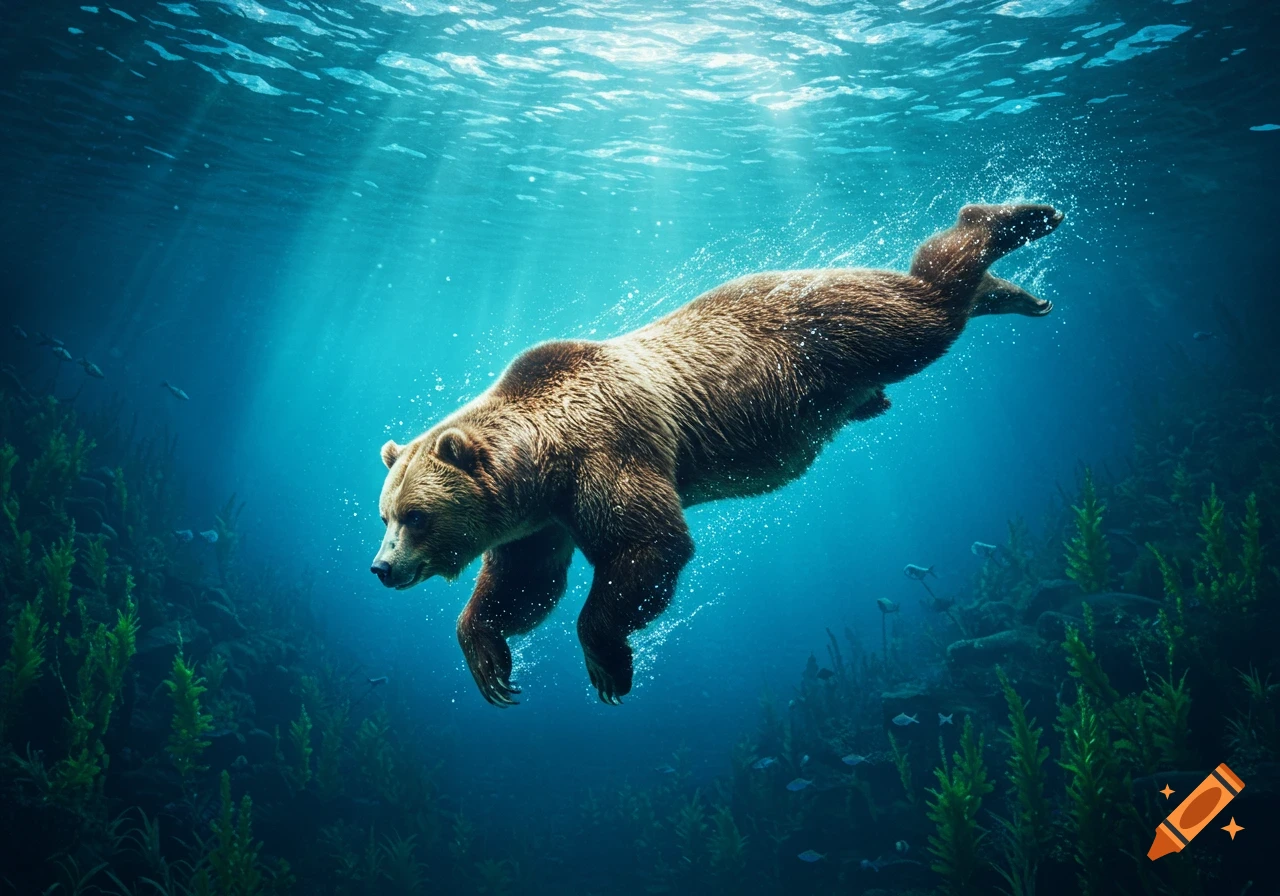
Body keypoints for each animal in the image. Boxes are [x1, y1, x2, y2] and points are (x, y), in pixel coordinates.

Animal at [372, 202, 1064, 706]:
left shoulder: (609, 448)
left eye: (416, 516)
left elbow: (648, 545)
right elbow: (524, 585)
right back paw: (1018, 295)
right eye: (386, 516)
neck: (546, 456)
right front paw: (489, 662)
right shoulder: (543, 515)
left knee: (928, 307)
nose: (381, 568)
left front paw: (607, 665)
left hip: (839, 326)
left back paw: (1016, 220)